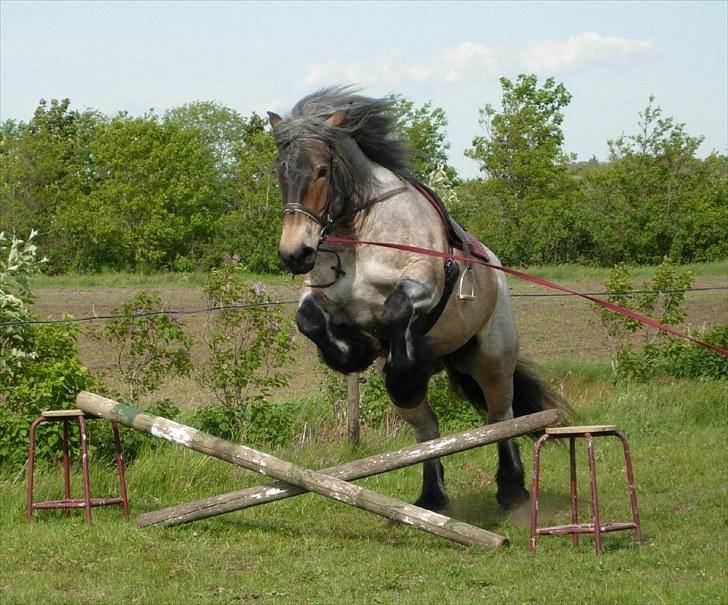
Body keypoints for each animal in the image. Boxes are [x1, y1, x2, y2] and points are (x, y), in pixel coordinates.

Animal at [268, 87, 556, 512]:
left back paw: (511, 488)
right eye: (280, 173)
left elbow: (396, 310)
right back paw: (432, 497)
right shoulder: (319, 292)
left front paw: (401, 368)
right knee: (428, 432)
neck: (362, 232)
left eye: (321, 170)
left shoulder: (424, 281)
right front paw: (354, 351)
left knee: (501, 415)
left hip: (492, 359)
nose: (294, 253)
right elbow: (309, 320)